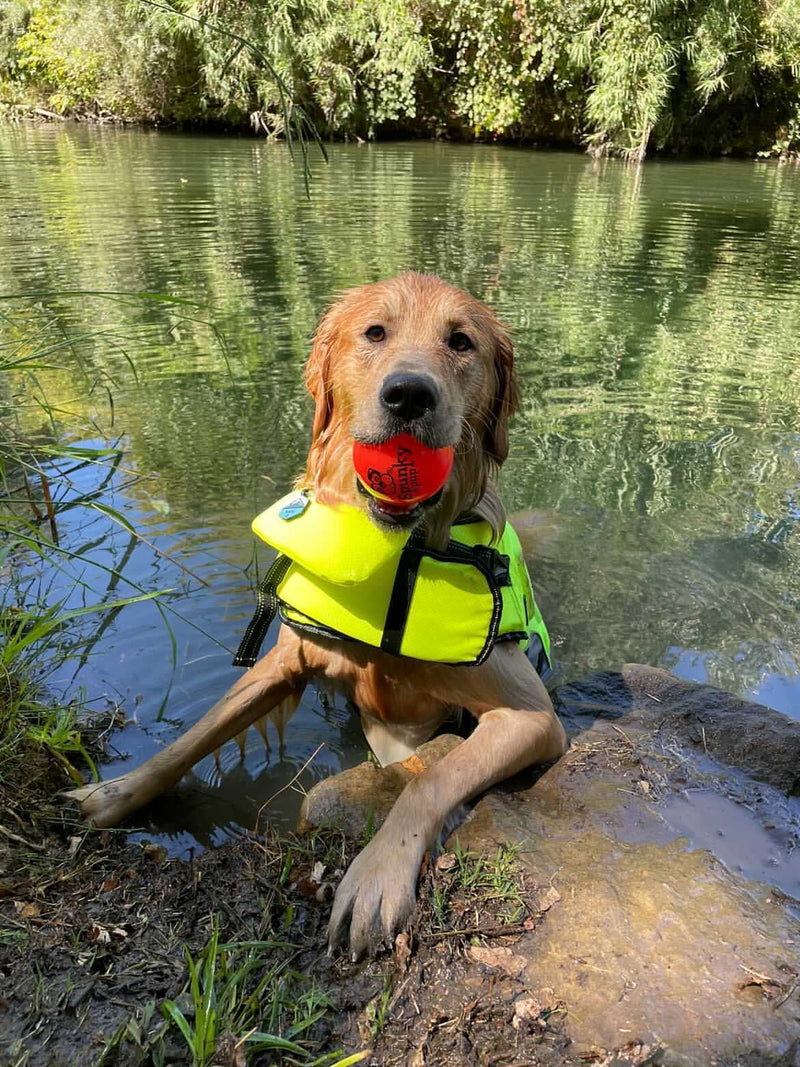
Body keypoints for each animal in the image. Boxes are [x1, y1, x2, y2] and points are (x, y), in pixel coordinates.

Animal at [68, 273, 571, 960]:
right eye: (375, 332)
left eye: (461, 342)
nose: (409, 395)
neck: (395, 551)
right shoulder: (284, 658)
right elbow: (195, 735)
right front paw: (116, 793)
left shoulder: (533, 717)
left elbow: (429, 782)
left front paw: (376, 877)